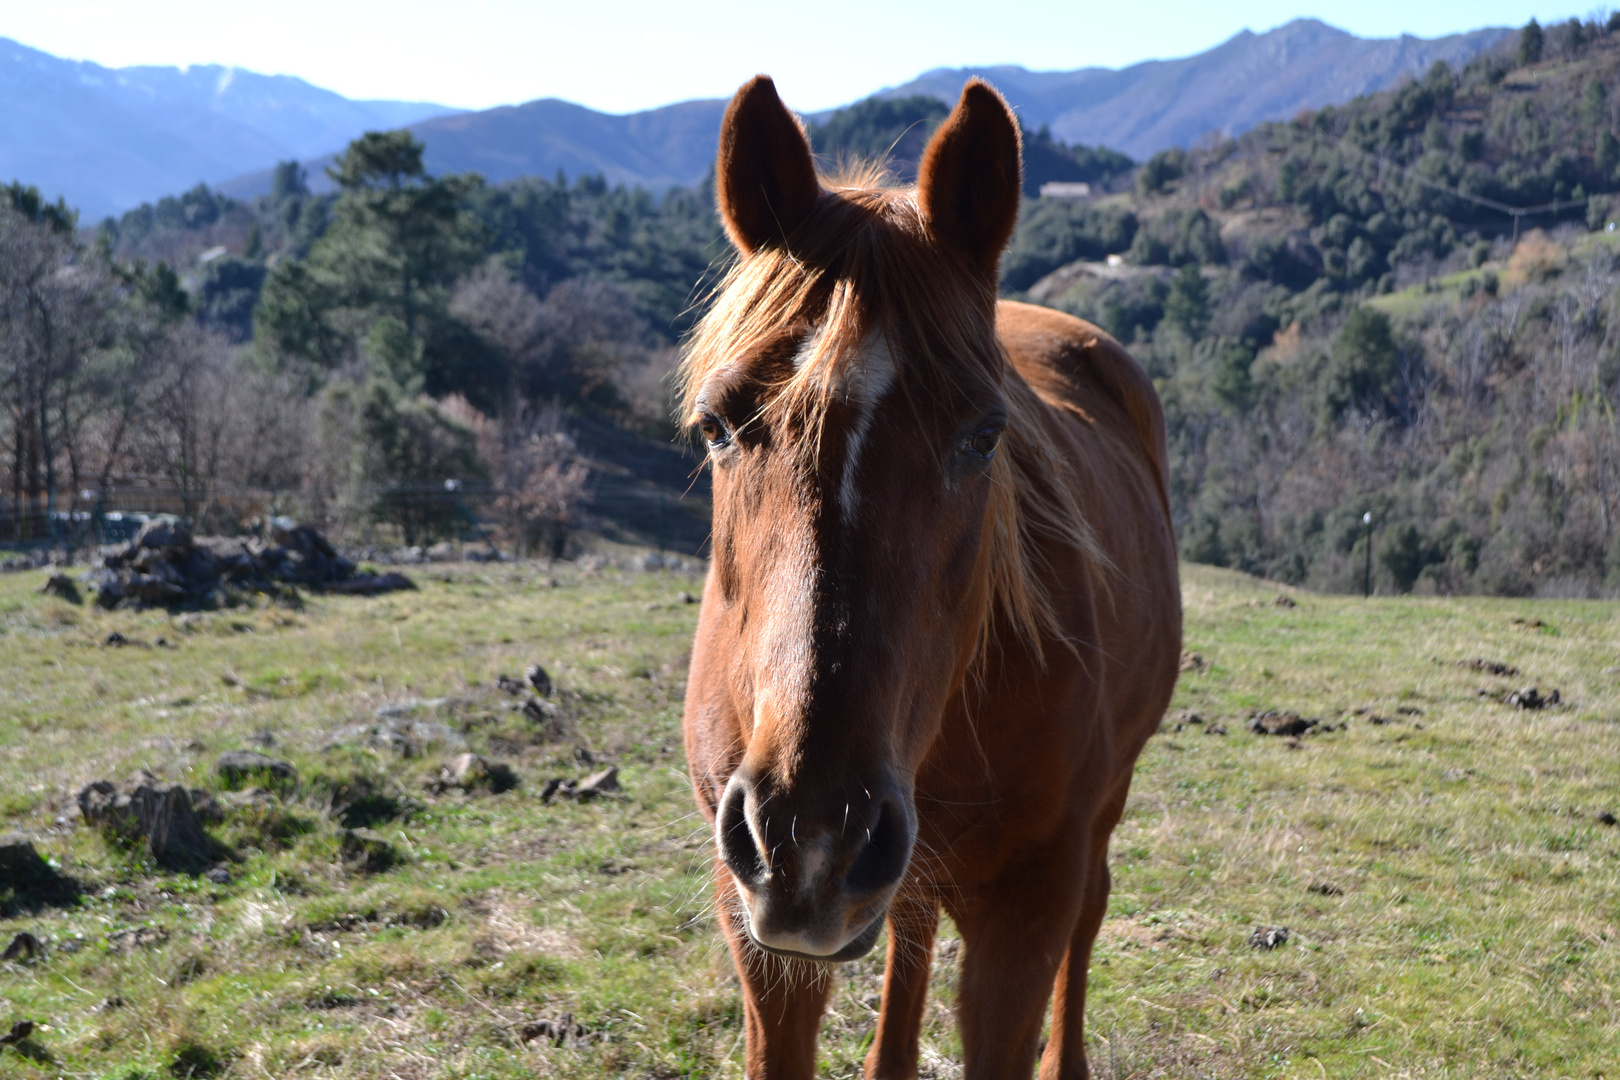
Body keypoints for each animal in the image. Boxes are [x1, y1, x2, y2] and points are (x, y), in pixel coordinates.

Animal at [677, 71, 1185, 1075]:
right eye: (717, 426)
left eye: (984, 436)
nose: (809, 837)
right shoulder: (757, 926)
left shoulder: (1025, 913)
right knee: (910, 927)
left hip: (1099, 806)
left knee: (1091, 910)